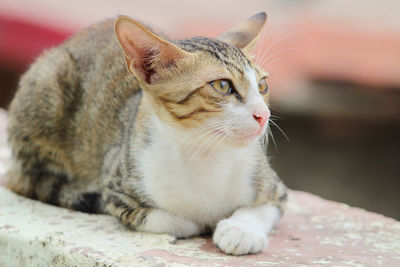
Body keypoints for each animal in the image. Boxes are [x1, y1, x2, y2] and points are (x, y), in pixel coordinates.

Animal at [6, 11, 288, 256]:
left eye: (262, 85)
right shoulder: (115, 189)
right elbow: (157, 217)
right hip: (45, 89)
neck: (205, 153)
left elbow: (263, 208)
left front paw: (240, 231)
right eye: (222, 85)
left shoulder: (275, 187)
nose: (263, 115)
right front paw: (193, 222)